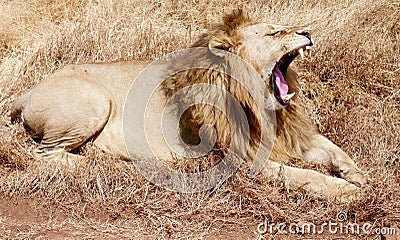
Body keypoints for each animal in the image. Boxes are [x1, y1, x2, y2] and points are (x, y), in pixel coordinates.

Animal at [10, 9, 368, 201]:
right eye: (273, 33)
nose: (307, 31)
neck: (264, 105)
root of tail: (27, 92)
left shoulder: (291, 136)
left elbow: (333, 149)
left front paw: (359, 175)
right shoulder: (246, 160)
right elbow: (304, 176)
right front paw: (346, 190)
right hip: (97, 101)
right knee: (44, 154)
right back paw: (110, 166)